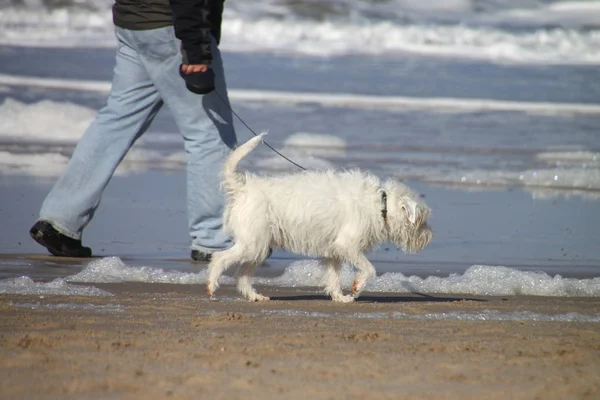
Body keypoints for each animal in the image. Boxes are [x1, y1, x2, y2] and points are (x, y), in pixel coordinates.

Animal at [206, 133, 432, 302]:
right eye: (422, 220)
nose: (430, 236)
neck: (381, 204)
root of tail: (243, 188)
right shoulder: (348, 245)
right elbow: (369, 269)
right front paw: (357, 287)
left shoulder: (335, 251)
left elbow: (333, 277)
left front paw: (339, 297)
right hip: (253, 243)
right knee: (219, 258)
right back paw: (212, 285)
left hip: (259, 247)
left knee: (242, 275)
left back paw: (254, 296)